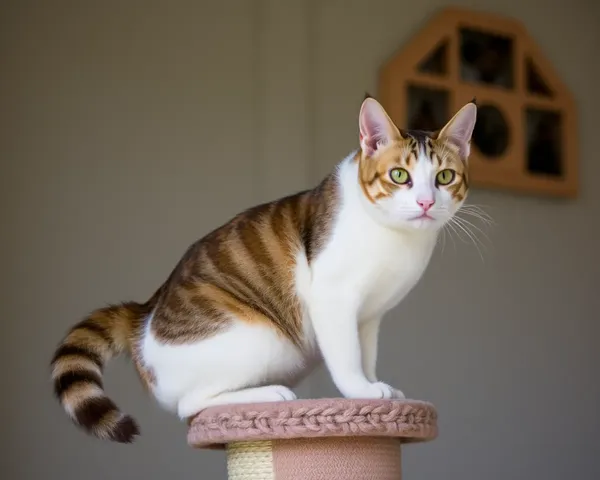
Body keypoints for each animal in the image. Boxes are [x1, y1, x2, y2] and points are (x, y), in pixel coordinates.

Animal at [49, 95, 476, 444]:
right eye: (399, 175)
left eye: (444, 177)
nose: (425, 203)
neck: (397, 238)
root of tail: (142, 313)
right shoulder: (333, 298)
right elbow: (346, 356)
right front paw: (362, 393)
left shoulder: (370, 316)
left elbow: (366, 354)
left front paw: (377, 391)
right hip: (264, 338)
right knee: (190, 405)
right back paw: (268, 395)